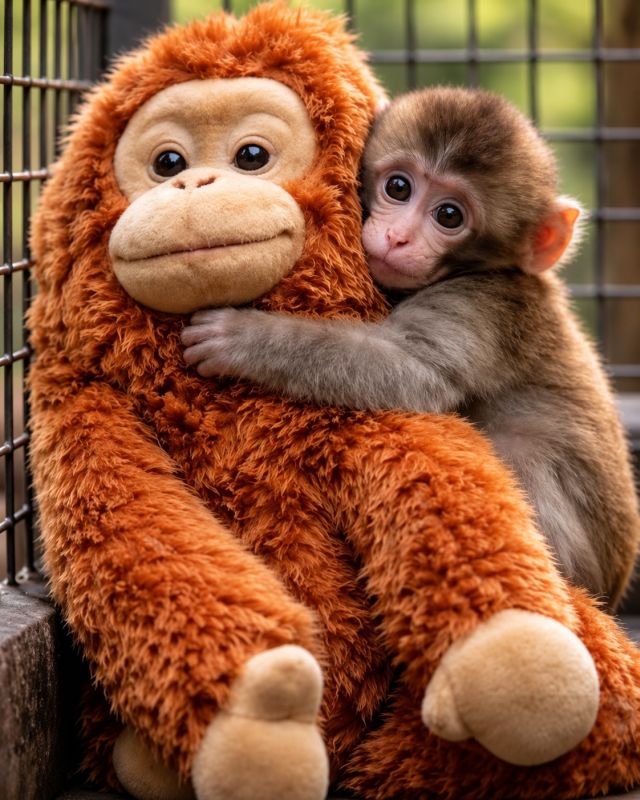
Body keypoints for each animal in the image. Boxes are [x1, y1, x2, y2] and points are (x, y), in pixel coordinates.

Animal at [182, 86, 640, 609]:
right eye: (398, 187)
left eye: (449, 215)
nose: (398, 237)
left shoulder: (484, 305)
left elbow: (412, 369)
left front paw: (240, 335)